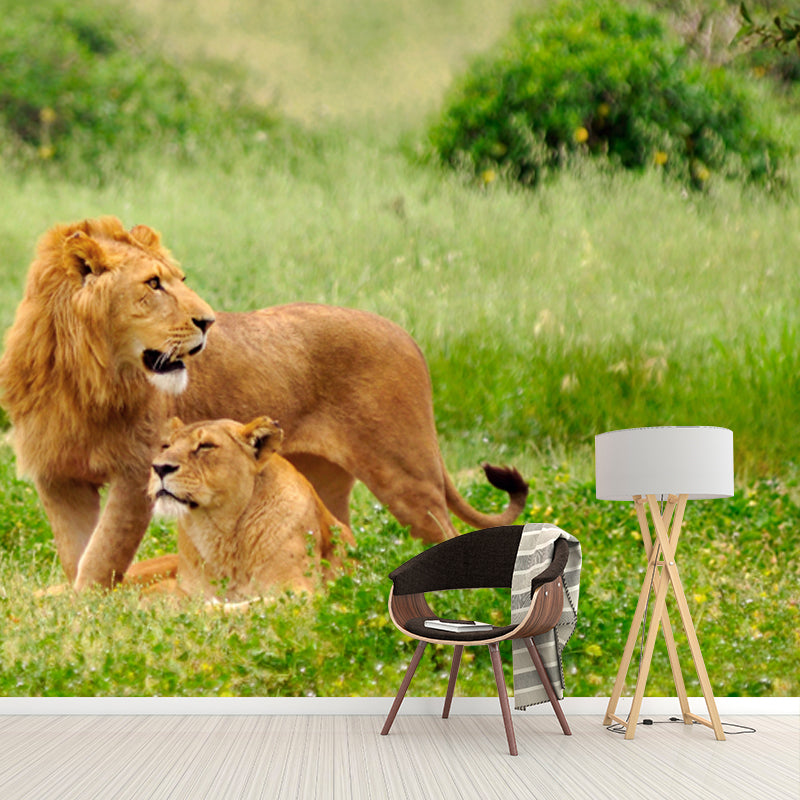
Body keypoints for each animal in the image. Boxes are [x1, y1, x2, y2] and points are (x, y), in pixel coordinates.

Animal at [139, 415, 354, 601]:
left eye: (206, 446)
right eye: (166, 446)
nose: (159, 468)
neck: (219, 532)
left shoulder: (298, 592)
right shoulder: (184, 589)